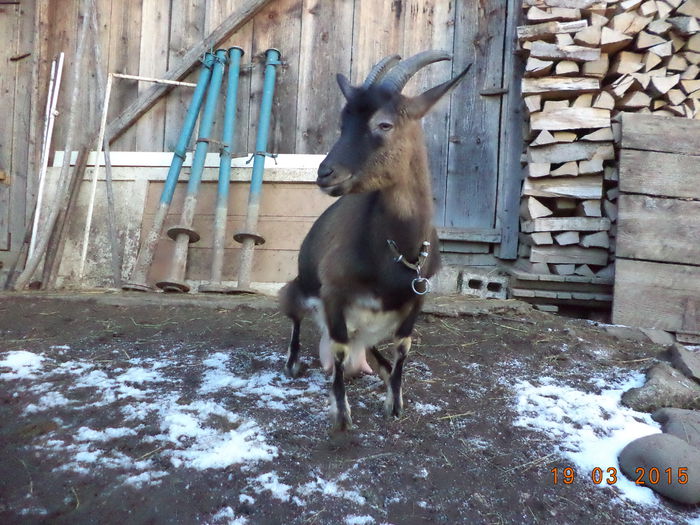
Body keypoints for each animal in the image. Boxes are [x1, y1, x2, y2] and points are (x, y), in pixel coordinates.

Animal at [278, 50, 470, 430]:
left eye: (384, 124)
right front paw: (341, 415)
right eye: (343, 123)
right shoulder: (333, 293)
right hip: (297, 288)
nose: (325, 173)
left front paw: (394, 404)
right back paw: (294, 362)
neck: (396, 251)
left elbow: (403, 348)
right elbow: (338, 350)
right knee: (296, 317)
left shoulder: (418, 298)